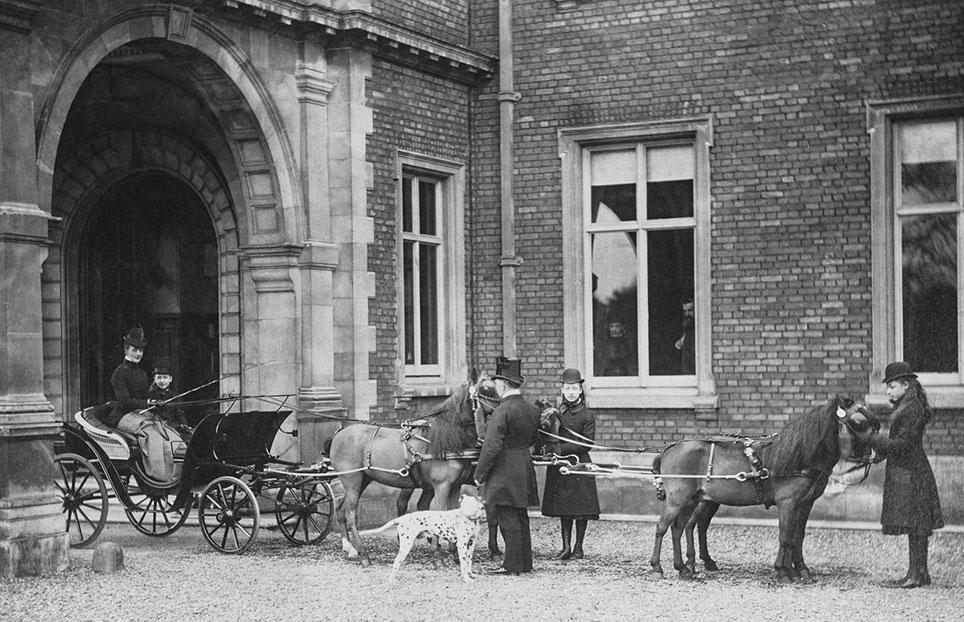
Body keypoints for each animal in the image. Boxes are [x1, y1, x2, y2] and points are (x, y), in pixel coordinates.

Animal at [652, 394, 876, 584]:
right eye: (859, 422)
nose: (875, 453)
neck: (798, 455)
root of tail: (668, 450)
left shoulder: (804, 504)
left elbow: (797, 536)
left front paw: (800, 569)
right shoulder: (787, 503)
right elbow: (785, 536)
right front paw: (783, 571)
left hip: (694, 500)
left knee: (680, 527)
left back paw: (684, 567)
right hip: (678, 500)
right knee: (664, 526)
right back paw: (658, 566)